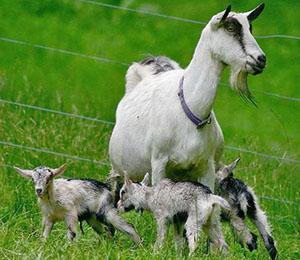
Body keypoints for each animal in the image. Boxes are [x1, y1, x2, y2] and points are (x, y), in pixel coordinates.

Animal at [109, 3, 266, 191]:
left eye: (250, 28)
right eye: (230, 28)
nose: (261, 59)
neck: (190, 111)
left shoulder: (207, 167)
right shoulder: (159, 164)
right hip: (118, 172)